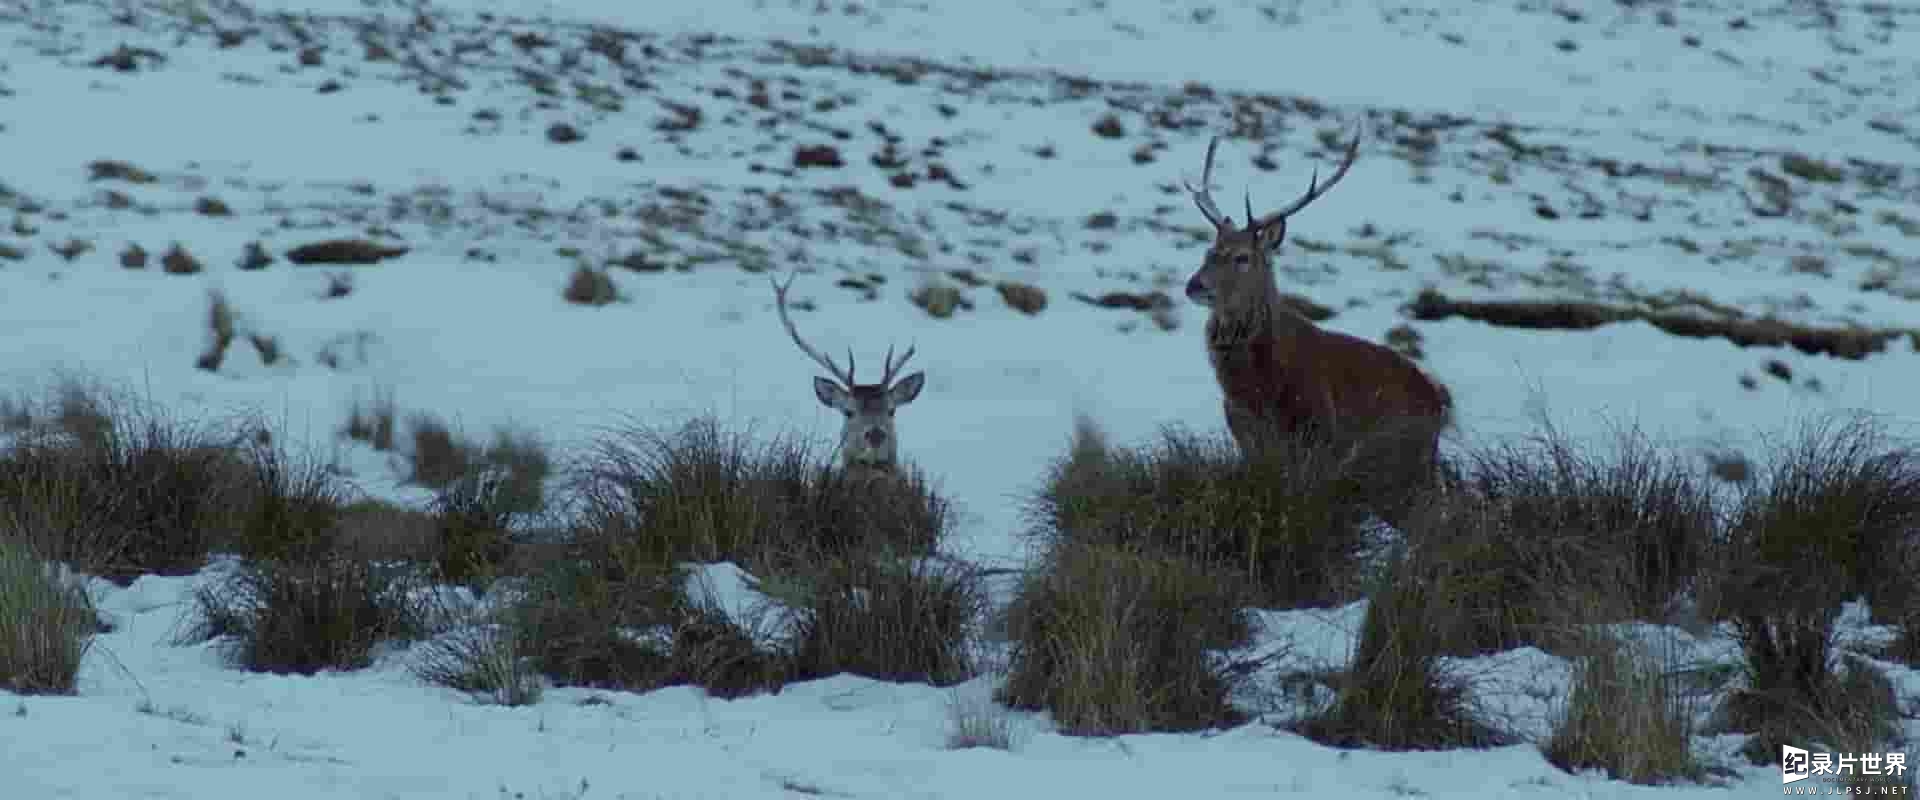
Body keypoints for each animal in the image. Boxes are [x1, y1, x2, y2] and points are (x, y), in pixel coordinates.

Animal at [1175, 128, 1443, 494]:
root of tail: (1440, 406)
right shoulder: (1247, 438)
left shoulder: (1318, 434)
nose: (1195, 285)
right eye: (1209, 251)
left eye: (1242, 257)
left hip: (1397, 461)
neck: (1257, 392)